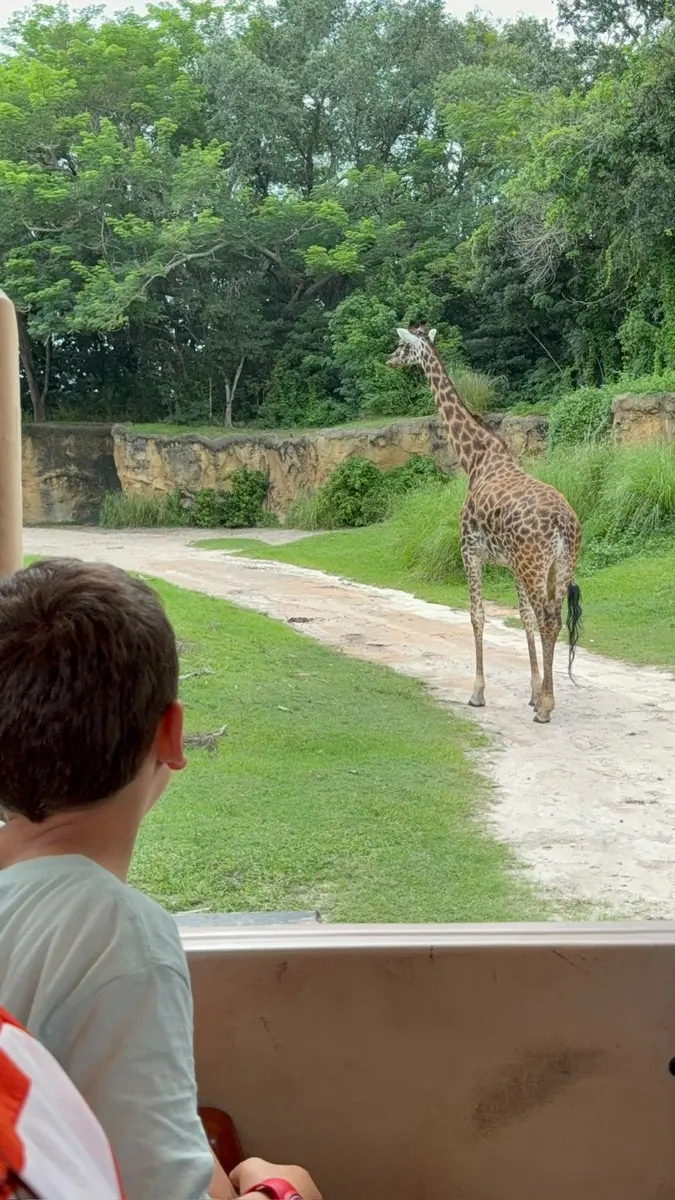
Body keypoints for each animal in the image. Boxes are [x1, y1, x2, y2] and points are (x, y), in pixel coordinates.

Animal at [388, 325, 582, 724]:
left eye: (401, 345)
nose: (388, 360)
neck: (475, 459)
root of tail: (564, 524)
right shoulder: (511, 564)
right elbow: (523, 617)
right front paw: (532, 691)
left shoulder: (470, 549)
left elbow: (477, 615)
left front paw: (478, 693)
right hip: (558, 565)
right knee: (550, 618)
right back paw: (545, 700)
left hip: (534, 563)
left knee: (548, 618)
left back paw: (546, 709)